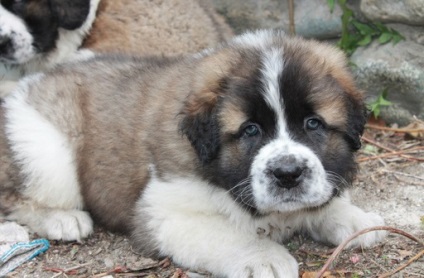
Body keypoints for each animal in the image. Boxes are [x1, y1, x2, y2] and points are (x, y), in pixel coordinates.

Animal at [0, 29, 386, 276]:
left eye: (313, 124)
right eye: (250, 130)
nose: (288, 174)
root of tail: (31, 82)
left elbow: (325, 201)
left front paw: (355, 219)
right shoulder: (162, 212)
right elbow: (225, 234)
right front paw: (264, 256)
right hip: (47, 152)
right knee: (16, 197)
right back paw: (61, 219)